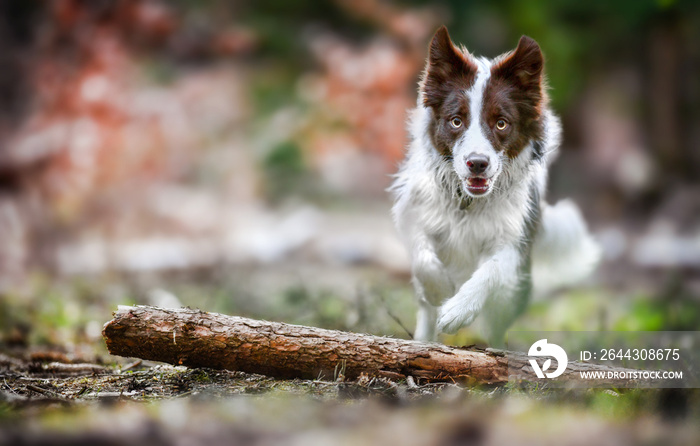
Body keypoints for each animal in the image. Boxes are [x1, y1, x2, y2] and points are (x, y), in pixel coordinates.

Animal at [392, 26, 600, 344]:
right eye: (456, 121)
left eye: (501, 123)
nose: (477, 163)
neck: (467, 203)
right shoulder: (413, 212)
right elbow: (423, 258)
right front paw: (440, 291)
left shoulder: (515, 240)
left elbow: (491, 270)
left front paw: (458, 310)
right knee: (425, 314)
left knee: (496, 328)